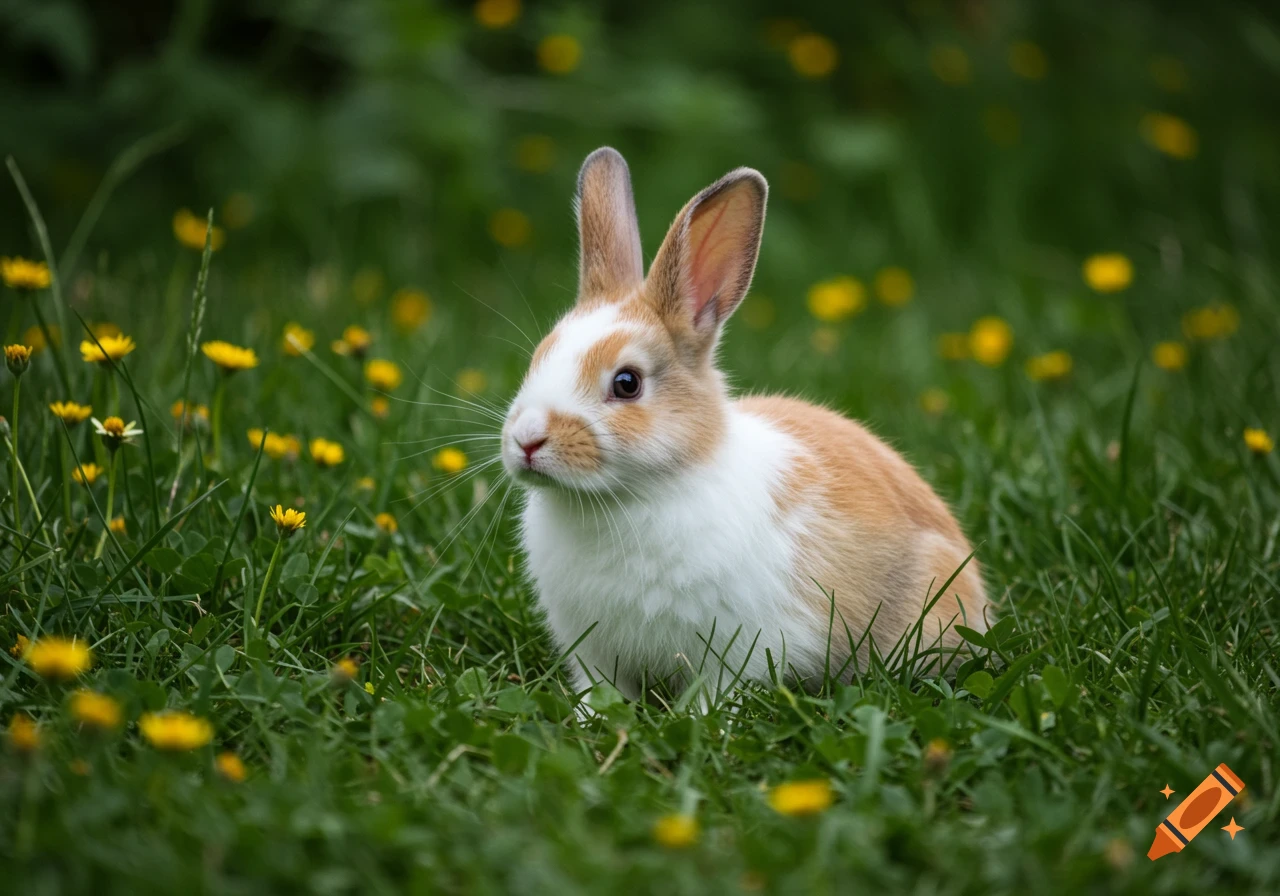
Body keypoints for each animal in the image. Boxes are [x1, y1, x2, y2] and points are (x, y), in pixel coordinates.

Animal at [501, 147, 988, 705]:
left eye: (627, 383)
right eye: (539, 357)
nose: (526, 440)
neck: (627, 496)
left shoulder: (738, 648)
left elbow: (717, 691)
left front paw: (697, 717)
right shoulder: (593, 651)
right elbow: (600, 688)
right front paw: (593, 716)